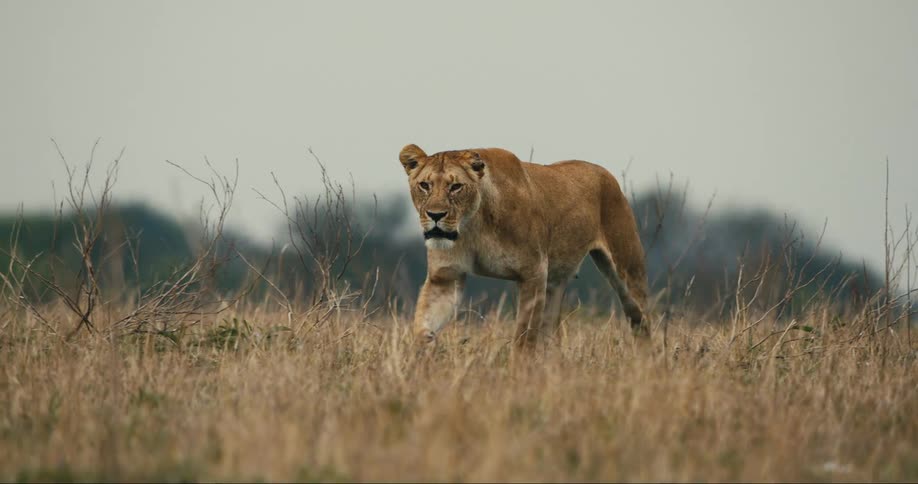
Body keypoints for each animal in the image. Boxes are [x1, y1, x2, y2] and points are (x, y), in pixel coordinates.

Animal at [399, 144, 648, 348]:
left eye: (456, 187)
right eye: (424, 185)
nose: (435, 215)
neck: (472, 225)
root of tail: (604, 172)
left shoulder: (533, 273)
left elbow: (524, 338)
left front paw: (519, 372)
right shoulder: (445, 278)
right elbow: (423, 325)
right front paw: (421, 358)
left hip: (626, 269)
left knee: (641, 318)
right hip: (555, 283)